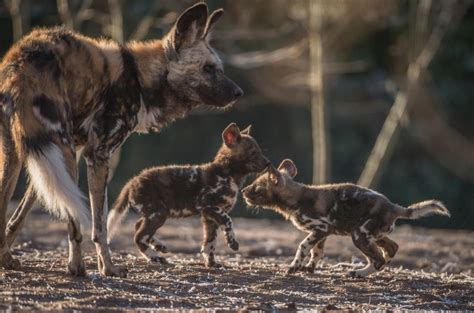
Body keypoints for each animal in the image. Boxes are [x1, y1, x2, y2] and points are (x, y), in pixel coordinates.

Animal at [0, 1, 243, 276]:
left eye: (219, 68)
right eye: (208, 69)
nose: (239, 93)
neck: (141, 79)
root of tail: (23, 56)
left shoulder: (55, 154)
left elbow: (18, 216)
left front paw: (5, 256)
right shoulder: (97, 155)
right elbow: (100, 227)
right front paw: (108, 268)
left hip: (20, 154)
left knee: (4, 204)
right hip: (65, 153)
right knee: (76, 224)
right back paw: (77, 268)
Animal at [108, 122, 270, 266]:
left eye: (260, 151)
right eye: (253, 152)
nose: (268, 163)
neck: (227, 174)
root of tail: (132, 181)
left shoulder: (209, 216)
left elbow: (209, 242)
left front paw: (211, 263)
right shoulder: (210, 207)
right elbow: (228, 221)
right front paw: (232, 243)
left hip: (153, 213)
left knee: (138, 227)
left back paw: (159, 246)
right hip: (159, 213)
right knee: (139, 237)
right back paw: (155, 257)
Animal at [243, 160, 450, 276]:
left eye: (256, 187)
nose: (243, 191)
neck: (296, 199)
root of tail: (394, 206)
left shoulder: (320, 229)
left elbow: (303, 247)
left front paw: (294, 267)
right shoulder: (321, 234)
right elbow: (316, 252)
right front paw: (309, 268)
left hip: (359, 235)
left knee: (378, 258)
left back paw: (359, 273)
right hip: (374, 235)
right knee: (391, 249)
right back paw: (374, 271)